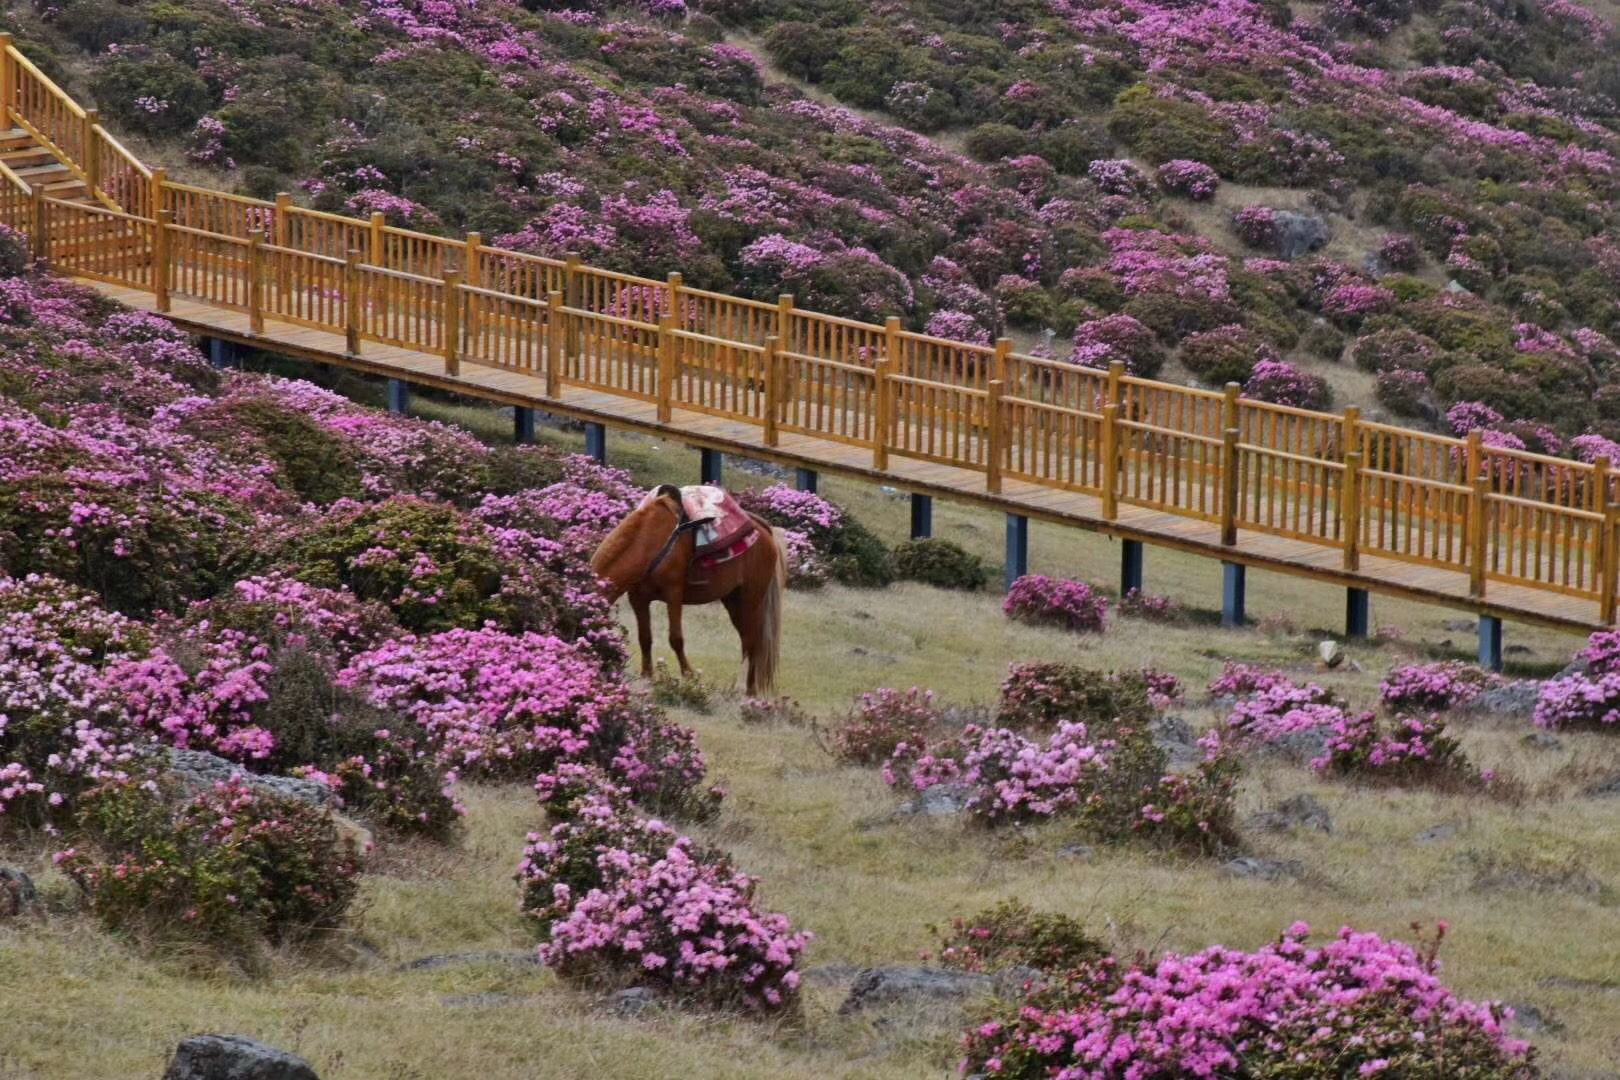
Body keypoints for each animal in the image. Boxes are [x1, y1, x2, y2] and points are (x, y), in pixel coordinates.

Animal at [592, 482, 787, 693]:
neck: (651, 542)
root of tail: (763, 531)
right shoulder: (638, 598)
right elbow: (645, 638)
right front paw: (647, 677)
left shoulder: (674, 595)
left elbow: (676, 639)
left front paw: (690, 677)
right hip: (734, 601)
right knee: (748, 641)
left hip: (752, 598)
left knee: (753, 642)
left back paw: (750, 692)